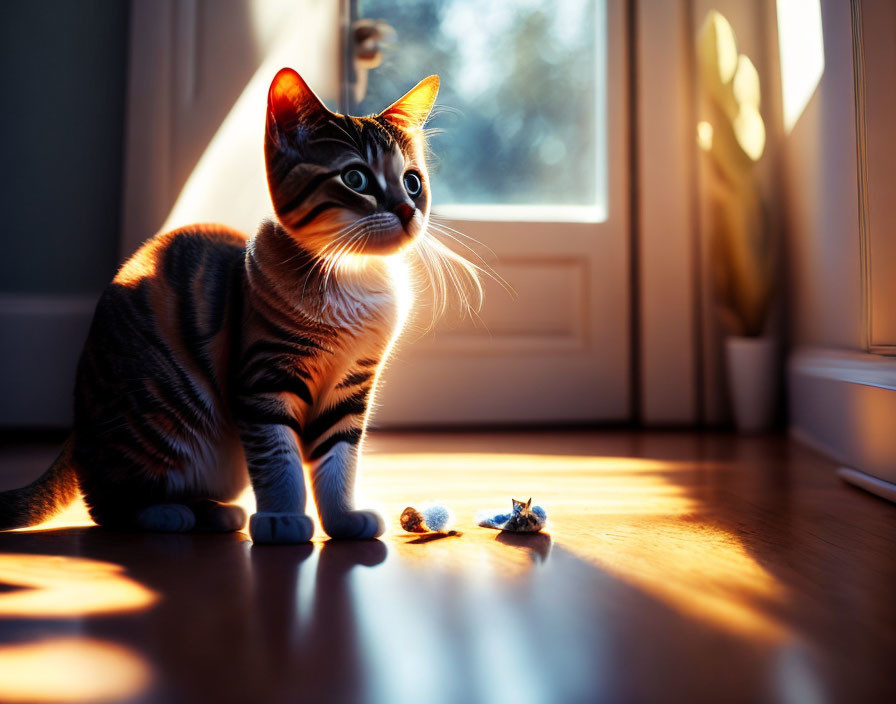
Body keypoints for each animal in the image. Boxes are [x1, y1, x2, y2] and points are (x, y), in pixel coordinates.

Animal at [0, 67, 448, 544]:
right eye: (356, 179)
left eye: (413, 182)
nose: (407, 210)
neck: (351, 275)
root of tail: (78, 430)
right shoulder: (263, 377)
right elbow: (279, 459)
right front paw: (282, 518)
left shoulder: (351, 385)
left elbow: (338, 459)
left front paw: (343, 518)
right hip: (156, 420)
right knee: (109, 504)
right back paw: (166, 513)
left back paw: (214, 512)